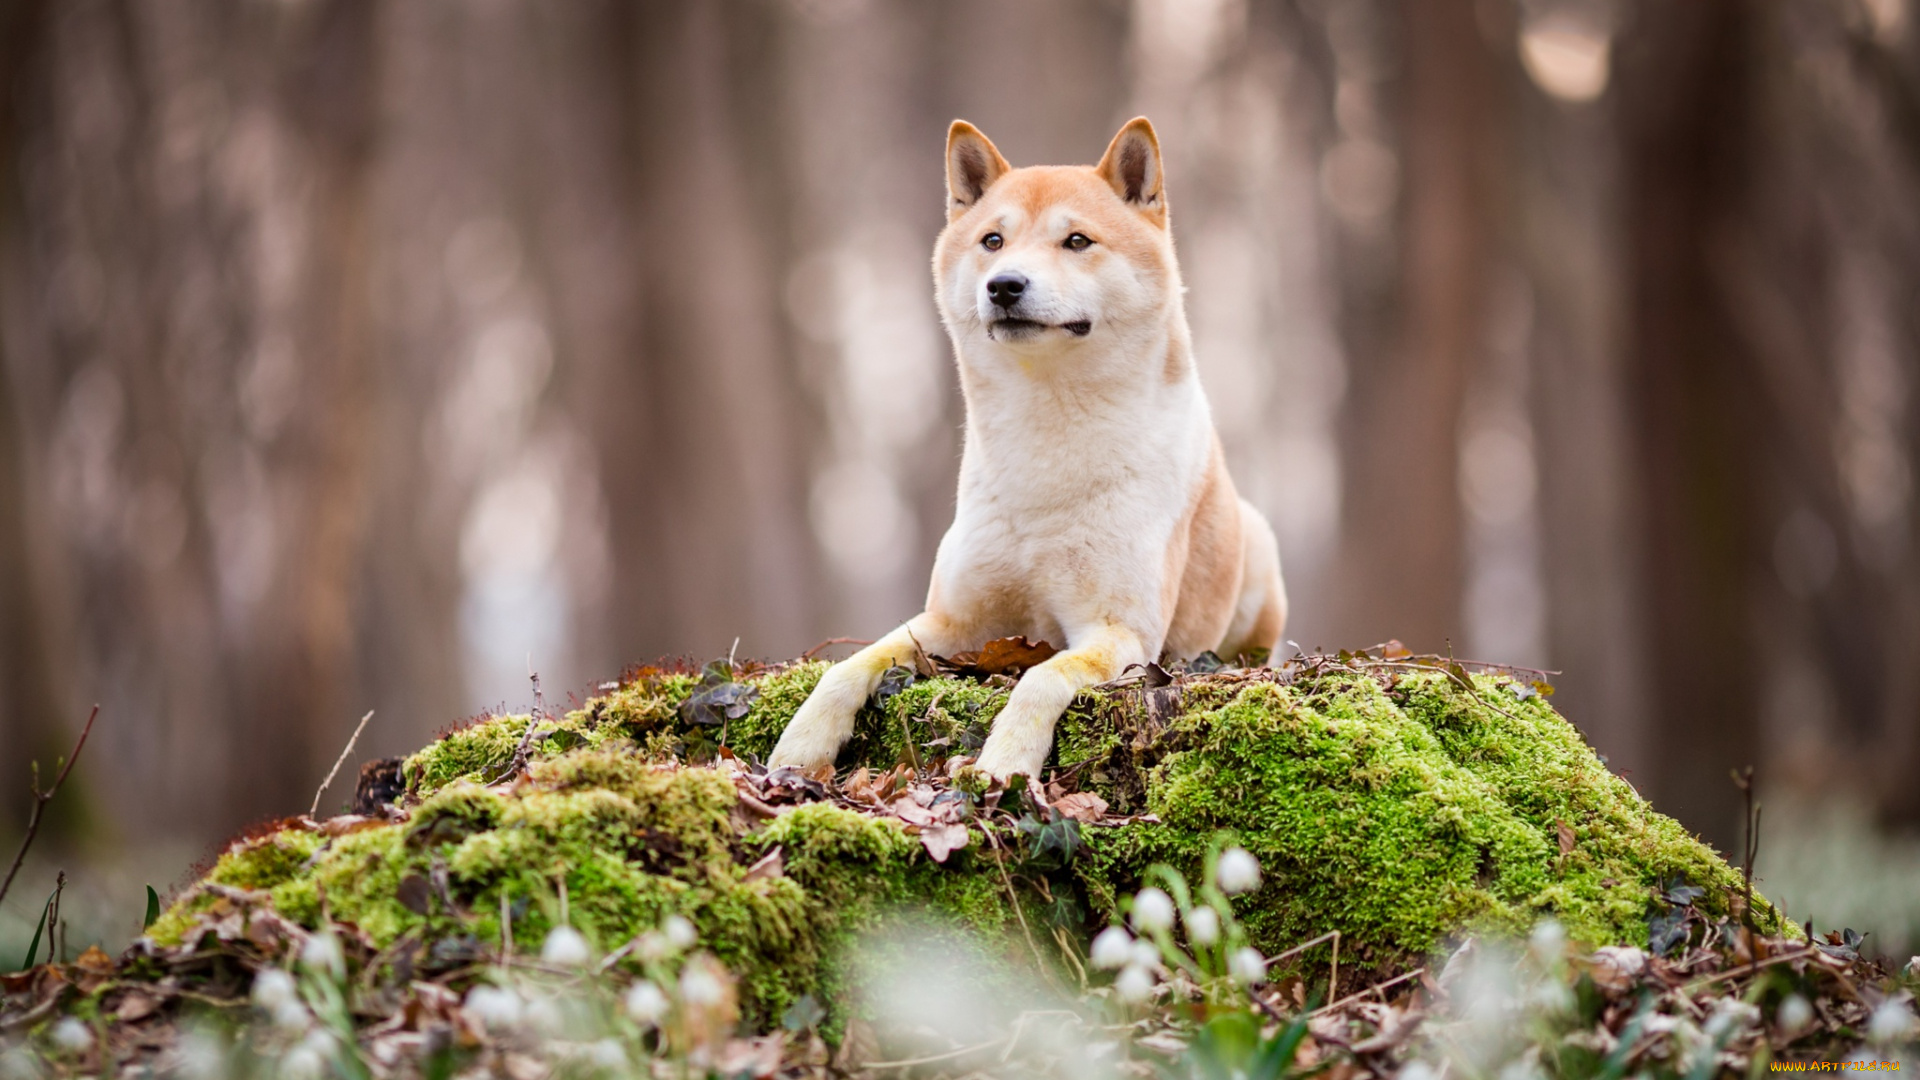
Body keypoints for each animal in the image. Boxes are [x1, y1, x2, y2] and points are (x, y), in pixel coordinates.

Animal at [768, 117, 1290, 780]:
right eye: (993, 240)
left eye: (1077, 241)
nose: (1005, 285)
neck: (1048, 436)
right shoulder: (952, 620)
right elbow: (852, 663)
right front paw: (800, 745)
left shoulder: (1119, 631)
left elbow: (1040, 677)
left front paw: (1003, 765)